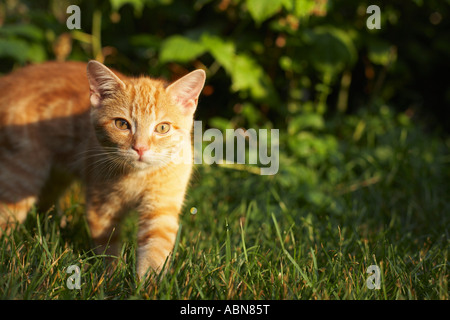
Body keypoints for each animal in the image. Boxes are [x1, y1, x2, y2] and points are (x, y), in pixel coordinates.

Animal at [0, 60, 206, 278]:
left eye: (162, 128)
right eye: (122, 124)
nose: (140, 148)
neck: (137, 176)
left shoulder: (162, 207)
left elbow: (155, 250)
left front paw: (147, 282)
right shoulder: (101, 207)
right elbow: (108, 247)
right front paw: (111, 276)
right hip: (21, 179)